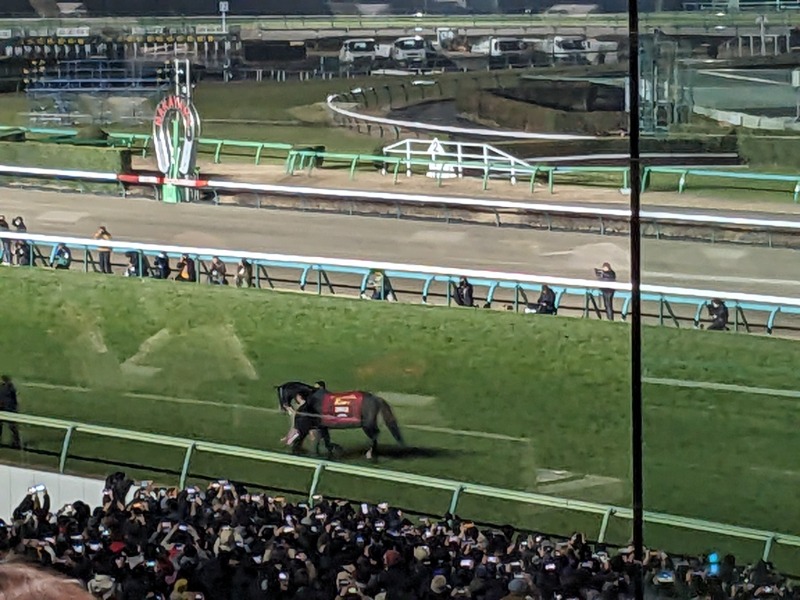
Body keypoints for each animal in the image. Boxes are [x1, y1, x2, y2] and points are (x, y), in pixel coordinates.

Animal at [278, 382, 406, 462]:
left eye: (281, 395)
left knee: (375, 435)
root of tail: (376, 398)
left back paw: (370, 453)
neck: (312, 398)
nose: (284, 407)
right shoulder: (321, 426)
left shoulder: (320, 425)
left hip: (367, 424)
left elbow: (327, 442)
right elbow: (326, 441)